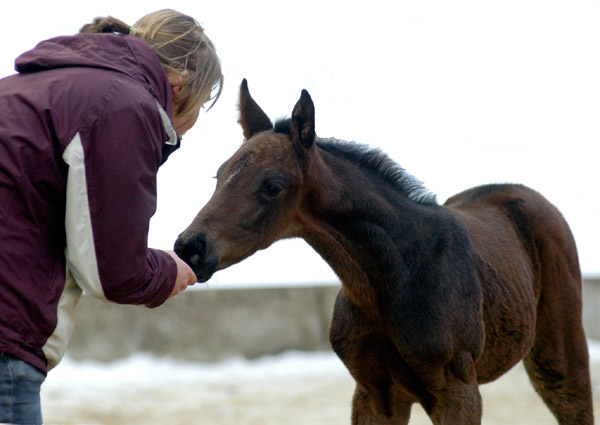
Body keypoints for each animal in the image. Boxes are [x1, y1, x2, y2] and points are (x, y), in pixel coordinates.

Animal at [176, 80, 592, 424]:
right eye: (219, 175)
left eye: (272, 186)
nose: (189, 247)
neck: (393, 279)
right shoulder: (375, 393)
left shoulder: (458, 393)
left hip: (559, 357)